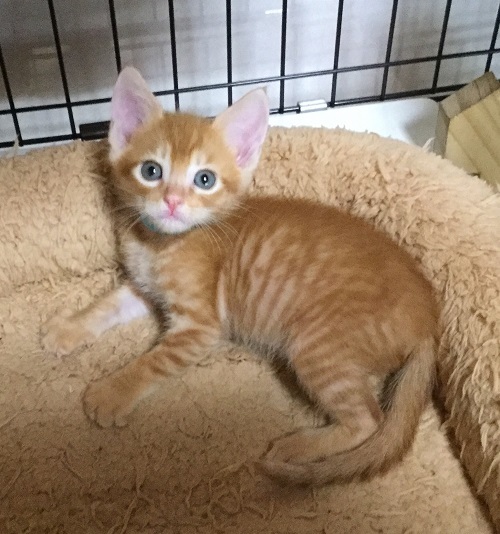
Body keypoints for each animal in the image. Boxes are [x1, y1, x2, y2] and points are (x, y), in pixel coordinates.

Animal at [41, 66, 440, 485]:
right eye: (151, 171)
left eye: (204, 180)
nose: (172, 201)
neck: (158, 244)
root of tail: (428, 317)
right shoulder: (143, 287)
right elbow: (107, 305)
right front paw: (68, 329)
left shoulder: (200, 328)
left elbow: (154, 361)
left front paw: (112, 393)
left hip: (318, 345)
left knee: (368, 420)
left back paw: (298, 447)